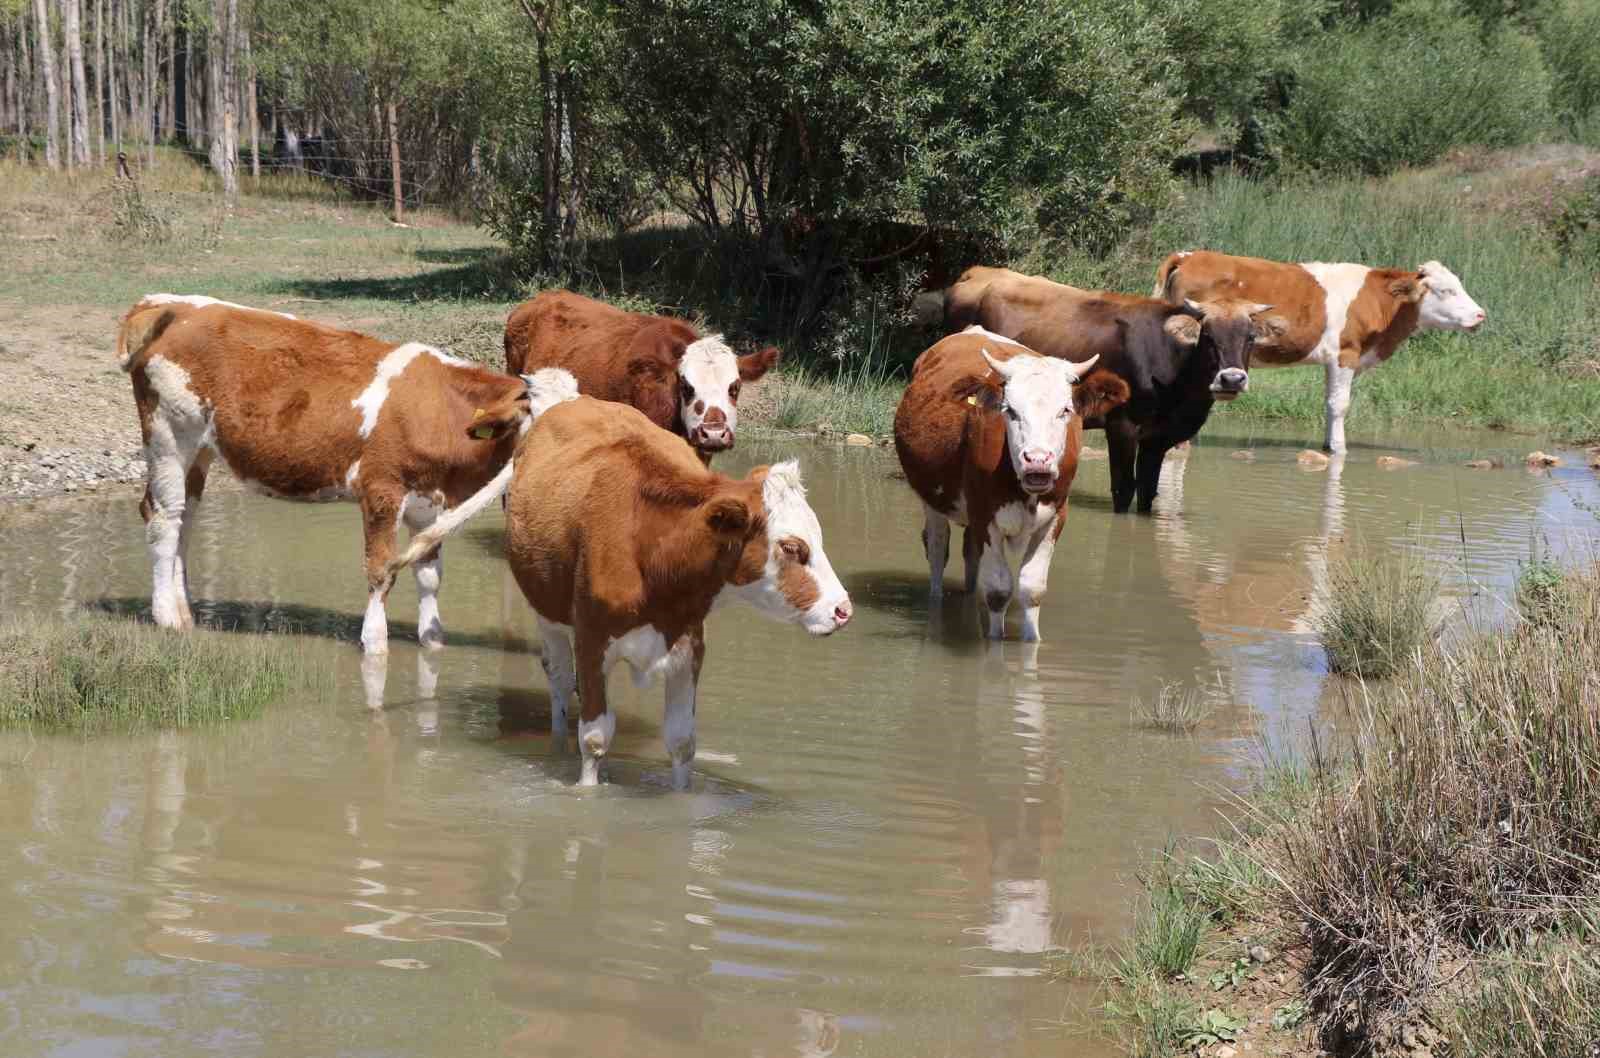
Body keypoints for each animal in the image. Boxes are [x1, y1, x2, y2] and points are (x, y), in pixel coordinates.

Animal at [116, 294, 537, 653]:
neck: (441, 410)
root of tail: (167, 306)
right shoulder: (381, 491)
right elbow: (381, 570)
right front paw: (375, 644)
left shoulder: (429, 502)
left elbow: (429, 575)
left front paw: (432, 641)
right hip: (170, 436)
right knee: (164, 518)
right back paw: (167, 617)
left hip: (200, 450)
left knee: (185, 520)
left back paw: (185, 611)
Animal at [388, 377, 857, 784]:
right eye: (792, 547)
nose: (843, 610)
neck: (652, 547)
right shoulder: (592, 641)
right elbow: (594, 739)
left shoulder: (690, 647)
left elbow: (682, 742)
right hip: (548, 614)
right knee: (560, 683)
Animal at [896, 326, 1132, 640]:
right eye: (1010, 410)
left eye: (1065, 410)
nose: (1037, 460)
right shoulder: (985, 516)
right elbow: (998, 590)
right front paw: (995, 643)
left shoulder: (1055, 517)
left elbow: (1032, 588)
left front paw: (1032, 642)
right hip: (933, 500)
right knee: (937, 549)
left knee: (970, 554)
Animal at [1152, 251, 1484, 451]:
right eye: (1446, 290)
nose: (1481, 315)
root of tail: (1190, 256)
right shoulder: (1345, 355)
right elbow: (1340, 405)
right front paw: (1339, 449)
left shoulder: (1333, 362)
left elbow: (1329, 403)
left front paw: (1328, 444)